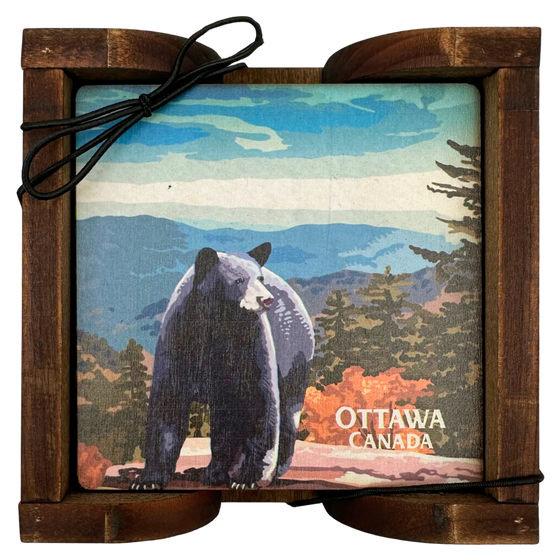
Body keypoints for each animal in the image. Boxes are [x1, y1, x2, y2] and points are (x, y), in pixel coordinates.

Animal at [132, 243, 316, 488]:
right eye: (238, 280)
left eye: (259, 278)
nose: (266, 299)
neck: (220, 323)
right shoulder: (178, 340)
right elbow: (167, 405)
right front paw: (148, 479)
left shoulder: (252, 344)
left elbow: (261, 402)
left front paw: (248, 478)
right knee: (225, 424)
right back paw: (211, 471)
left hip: (294, 355)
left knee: (285, 411)